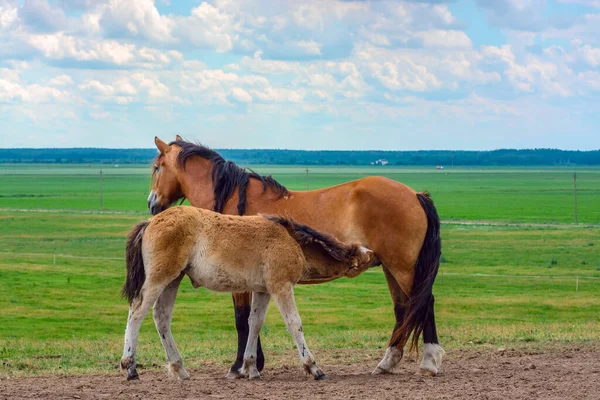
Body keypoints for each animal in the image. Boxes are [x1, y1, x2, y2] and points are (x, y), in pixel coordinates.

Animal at [119, 206, 378, 382]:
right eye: (363, 256)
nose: (376, 255)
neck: (292, 240)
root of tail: (151, 221)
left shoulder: (263, 291)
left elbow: (255, 322)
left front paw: (250, 367)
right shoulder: (281, 286)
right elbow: (294, 324)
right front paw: (313, 367)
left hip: (173, 280)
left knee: (161, 317)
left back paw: (179, 368)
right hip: (159, 279)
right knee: (137, 312)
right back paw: (130, 367)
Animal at [148, 136, 442, 376]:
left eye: (157, 167)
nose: (152, 203)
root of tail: (414, 194)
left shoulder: (240, 282)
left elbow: (242, 320)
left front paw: (238, 367)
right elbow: (254, 321)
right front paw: (254, 363)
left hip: (404, 268)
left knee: (424, 303)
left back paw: (429, 361)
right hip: (391, 268)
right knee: (403, 308)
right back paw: (387, 363)